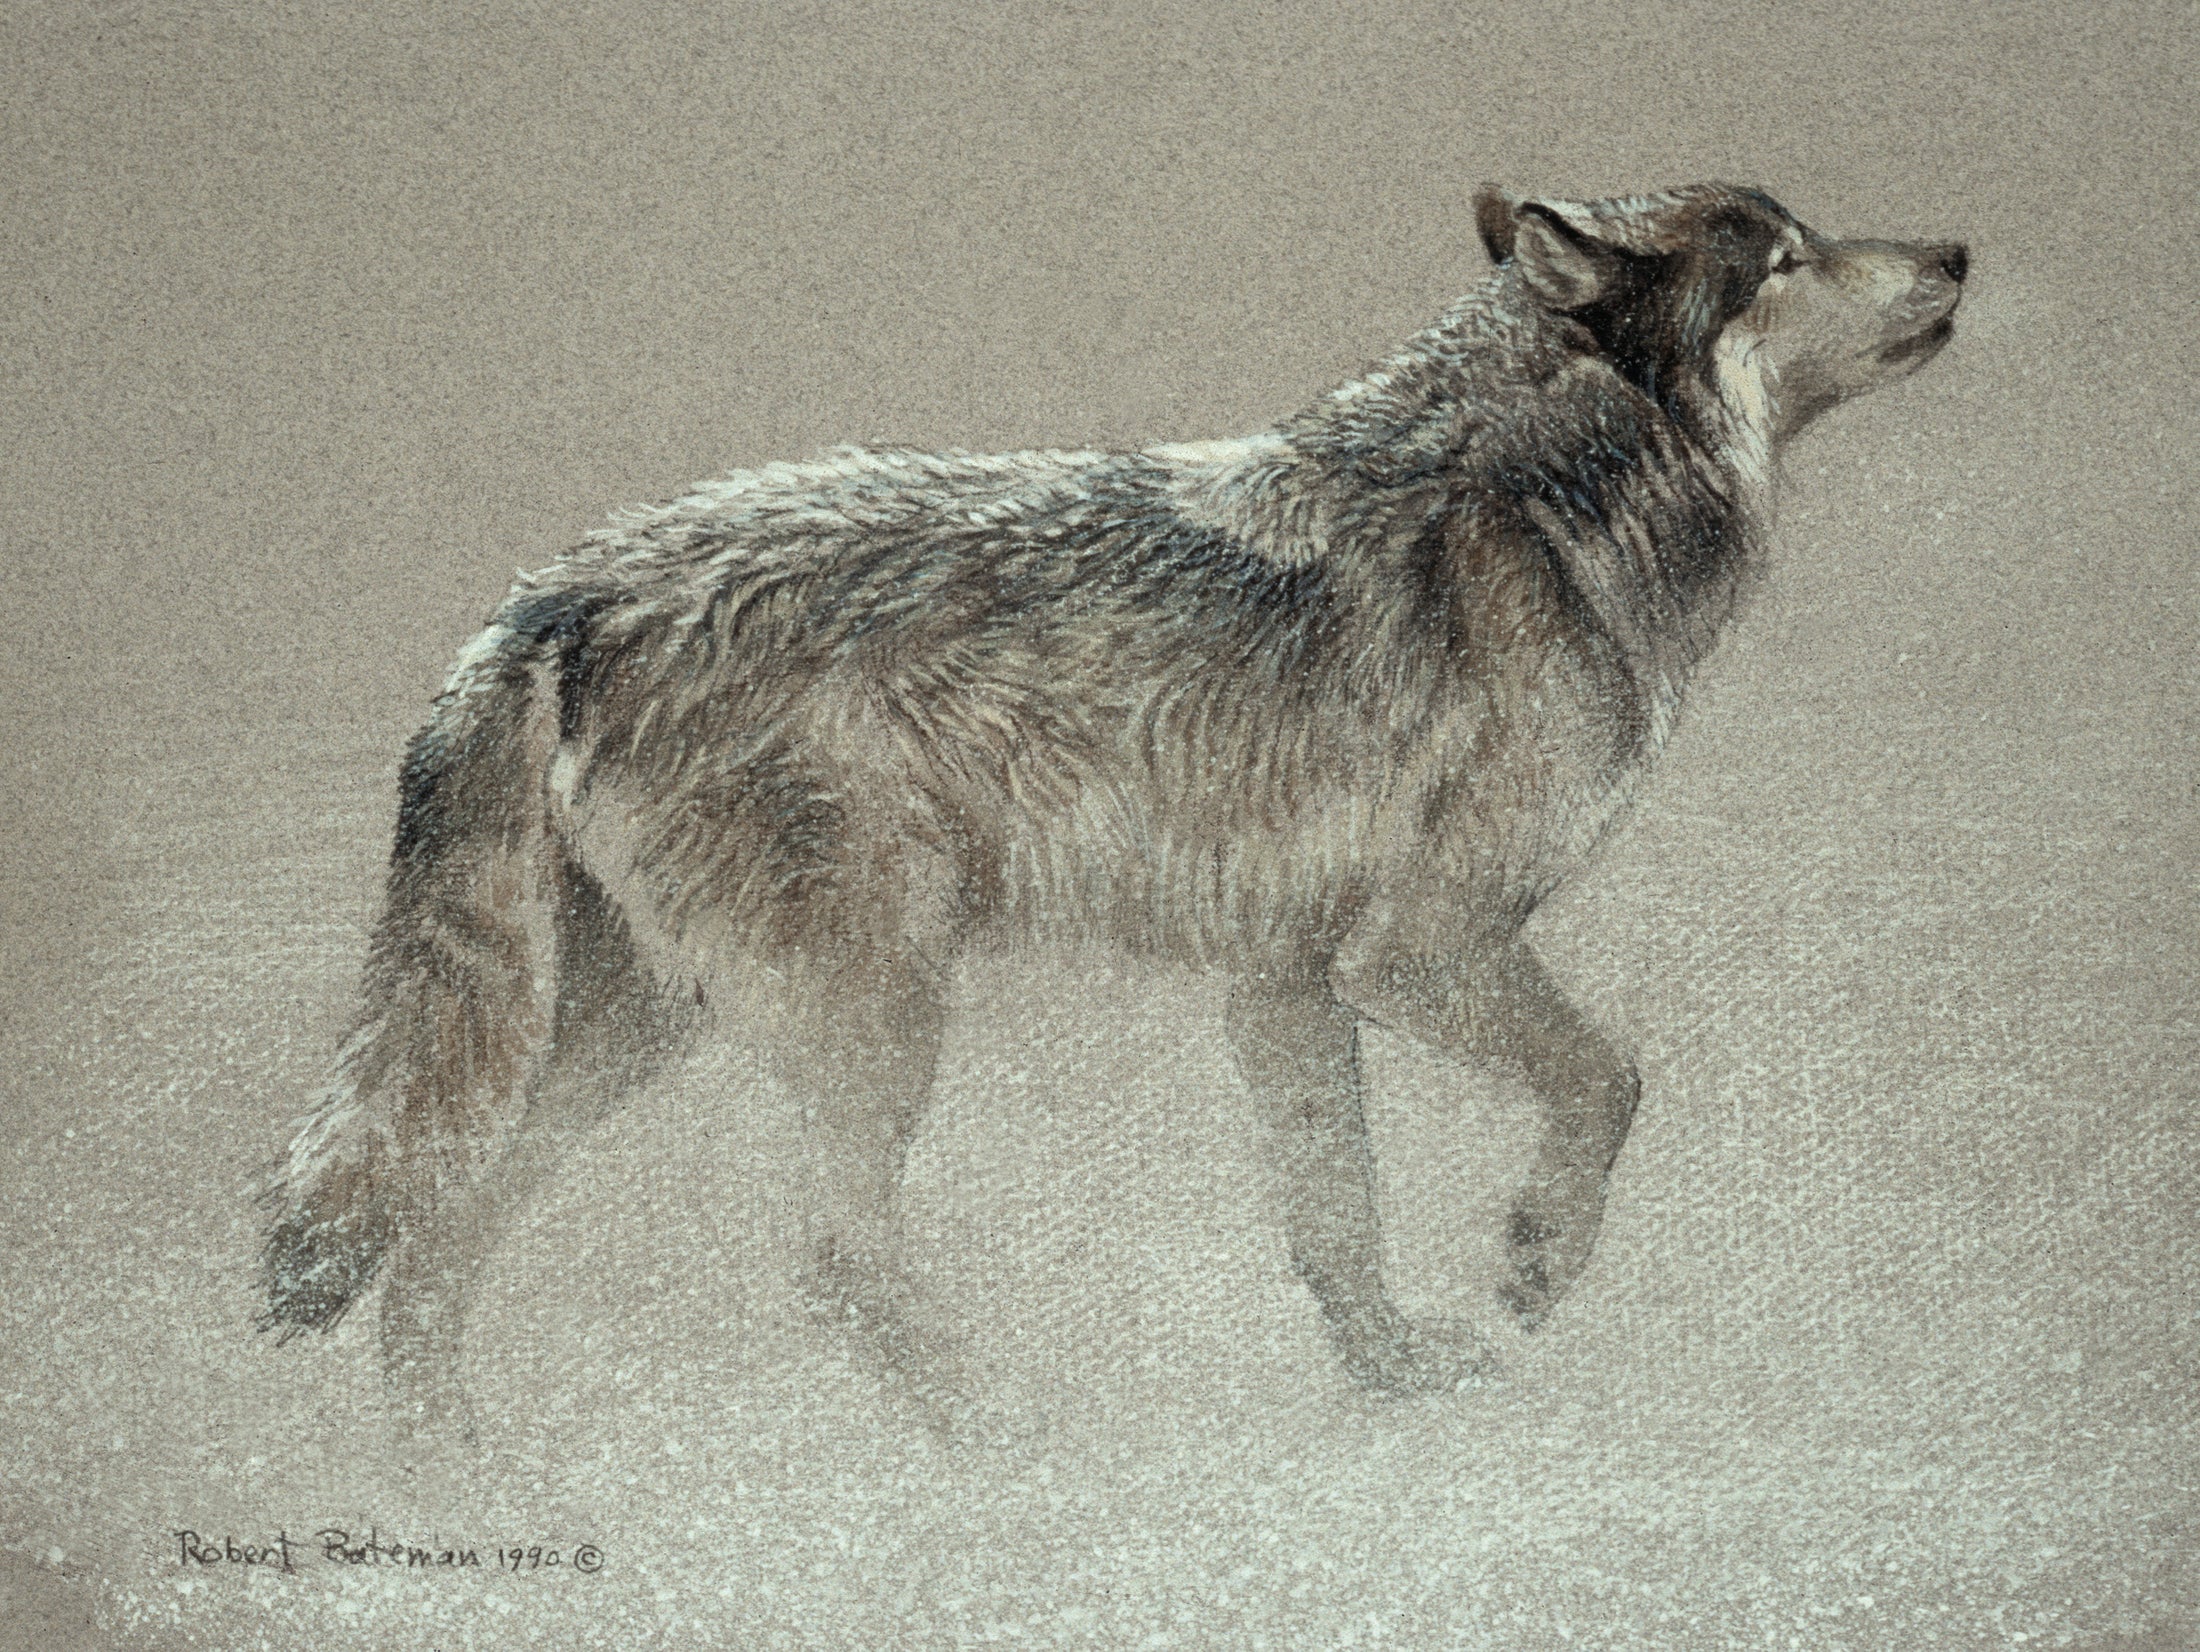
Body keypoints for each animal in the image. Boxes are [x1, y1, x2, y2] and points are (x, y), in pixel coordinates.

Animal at [258, 182, 1966, 1439]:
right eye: (1786, 256)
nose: (1960, 248)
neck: (1544, 500)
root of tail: (561, 593)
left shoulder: (1286, 985)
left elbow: (1339, 1223)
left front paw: (1395, 1384)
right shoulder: (1423, 951)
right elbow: (1609, 1082)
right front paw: (1537, 1264)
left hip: (632, 1032)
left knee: (433, 1231)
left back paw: (459, 1475)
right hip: (870, 1019)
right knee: (829, 1260)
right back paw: (1001, 1438)